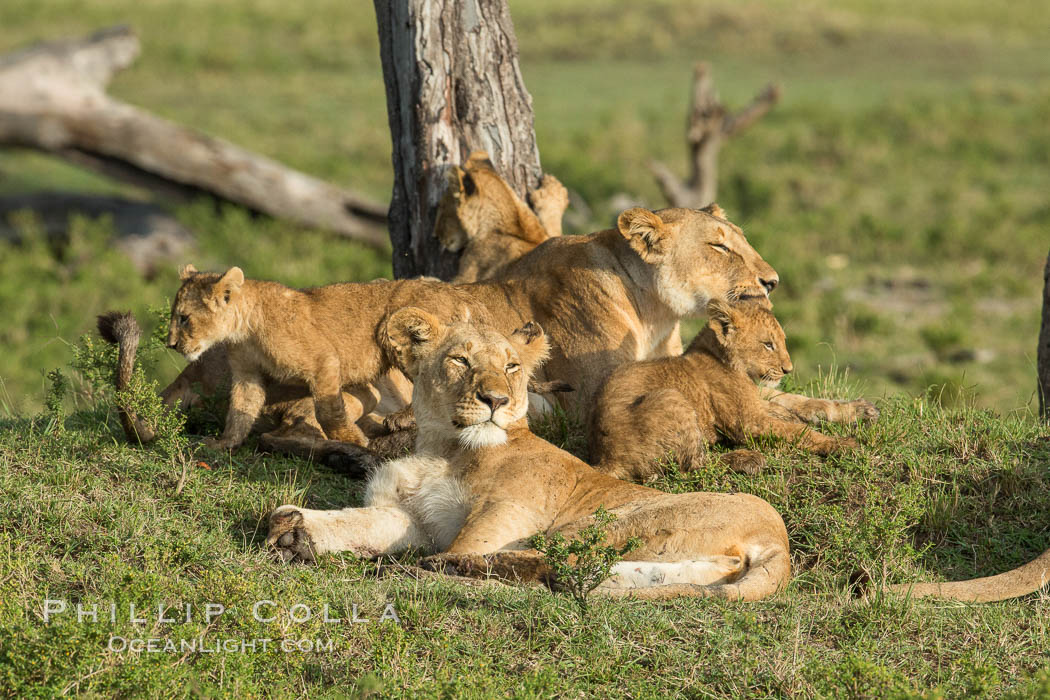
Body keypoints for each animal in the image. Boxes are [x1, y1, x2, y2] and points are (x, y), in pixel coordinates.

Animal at [588, 295, 865, 482]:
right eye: (768, 344)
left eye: (783, 341)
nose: (788, 369)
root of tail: (606, 457)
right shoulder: (747, 422)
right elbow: (798, 431)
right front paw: (840, 444)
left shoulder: (756, 402)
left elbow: (781, 405)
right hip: (670, 397)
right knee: (692, 466)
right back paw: (748, 460)